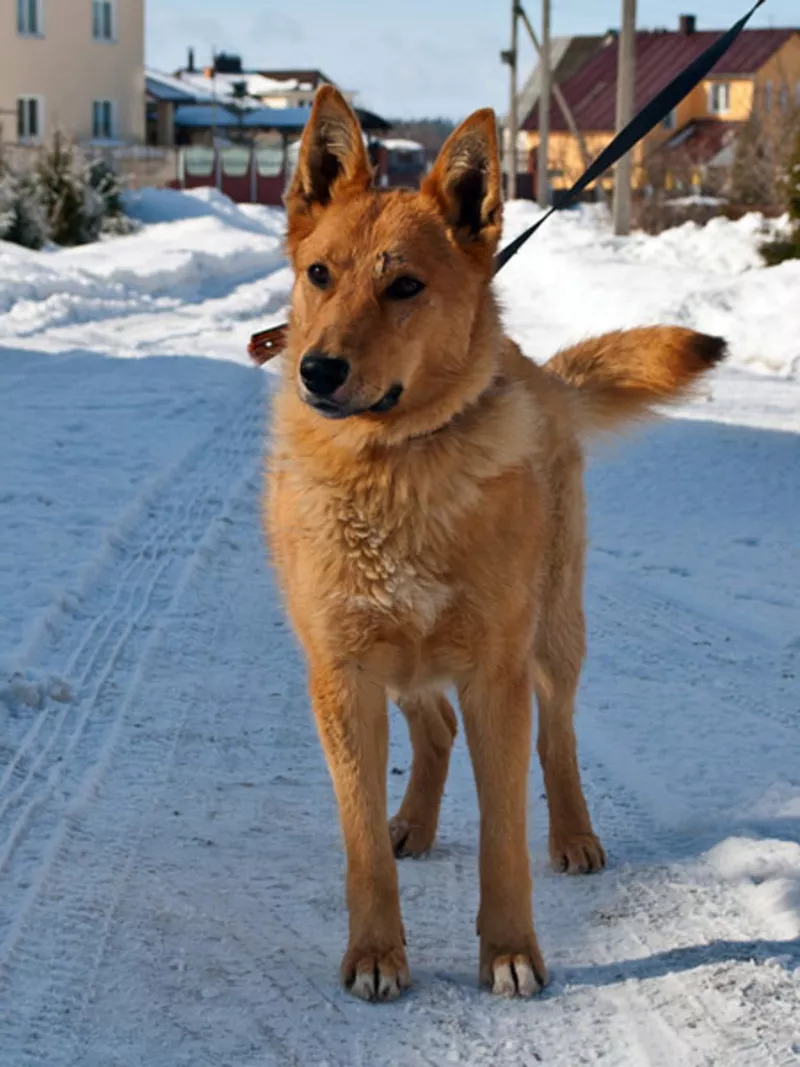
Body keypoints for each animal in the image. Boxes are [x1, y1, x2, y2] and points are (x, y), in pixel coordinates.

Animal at [267, 83, 725, 998]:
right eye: (319, 274)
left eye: (404, 286)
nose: (318, 370)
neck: (394, 469)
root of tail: (539, 371)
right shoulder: (342, 676)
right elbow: (361, 844)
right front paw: (376, 948)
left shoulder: (496, 677)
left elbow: (504, 836)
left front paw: (511, 948)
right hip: (405, 660)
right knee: (435, 727)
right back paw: (413, 821)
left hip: (551, 634)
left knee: (558, 738)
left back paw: (573, 833)